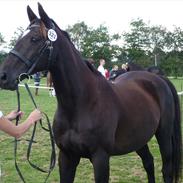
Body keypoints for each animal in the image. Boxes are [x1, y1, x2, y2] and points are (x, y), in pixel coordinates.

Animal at [0, 3, 181, 182]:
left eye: (34, 39)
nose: (3, 76)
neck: (82, 103)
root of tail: (157, 78)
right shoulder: (66, 156)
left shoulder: (101, 158)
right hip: (138, 137)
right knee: (149, 163)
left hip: (164, 135)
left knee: (166, 169)